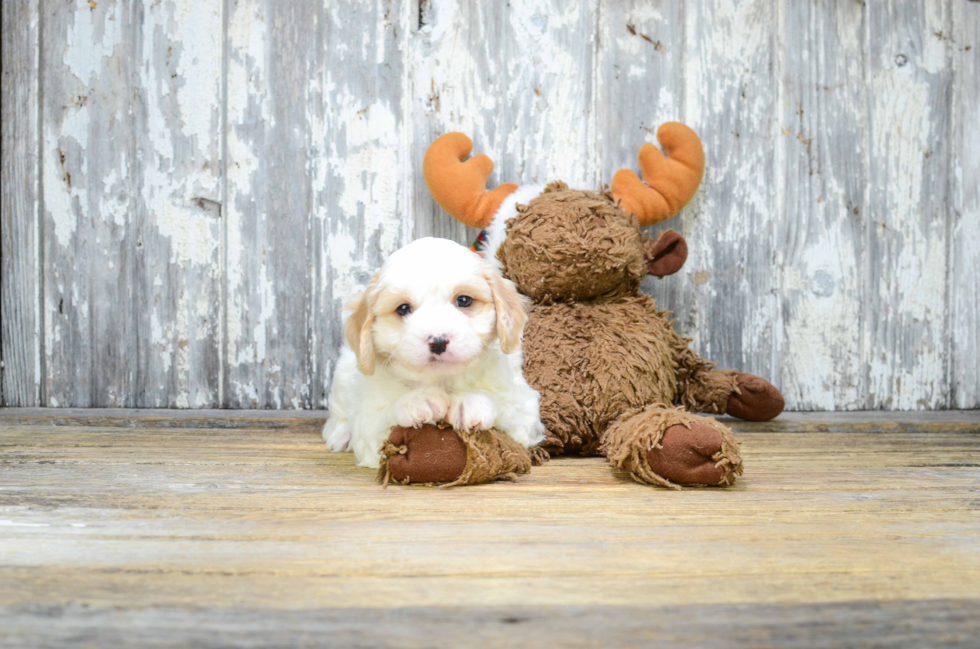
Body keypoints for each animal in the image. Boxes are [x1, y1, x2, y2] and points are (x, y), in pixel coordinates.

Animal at [322, 237, 544, 466]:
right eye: (403, 309)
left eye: (464, 300)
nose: (438, 342)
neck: (442, 380)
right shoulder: (369, 420)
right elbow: (382, 418)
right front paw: (418, 401)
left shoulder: (525, 409)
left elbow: (508, 407)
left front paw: (471, 401)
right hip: (343, 374)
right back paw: (341, 435)